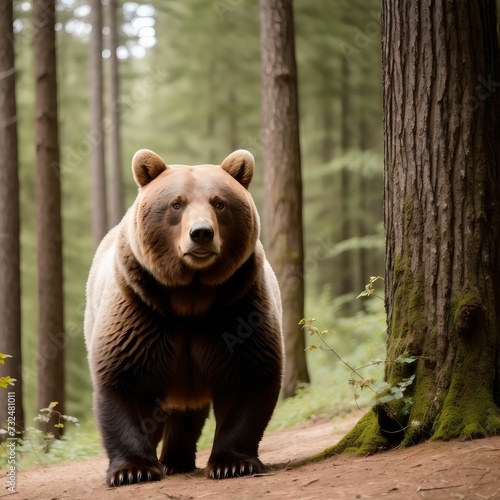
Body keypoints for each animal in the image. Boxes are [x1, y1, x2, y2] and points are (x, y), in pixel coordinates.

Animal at [84, 149, 284, 488]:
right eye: (177, 204)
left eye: (219, 203)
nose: (201, 233)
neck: (191, 297)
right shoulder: (138, 310)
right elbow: (123, 379)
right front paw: (132, 470)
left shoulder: (238, 306)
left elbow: (248, 375)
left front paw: (232, 464)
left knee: (188, 410)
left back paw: (176, 459)